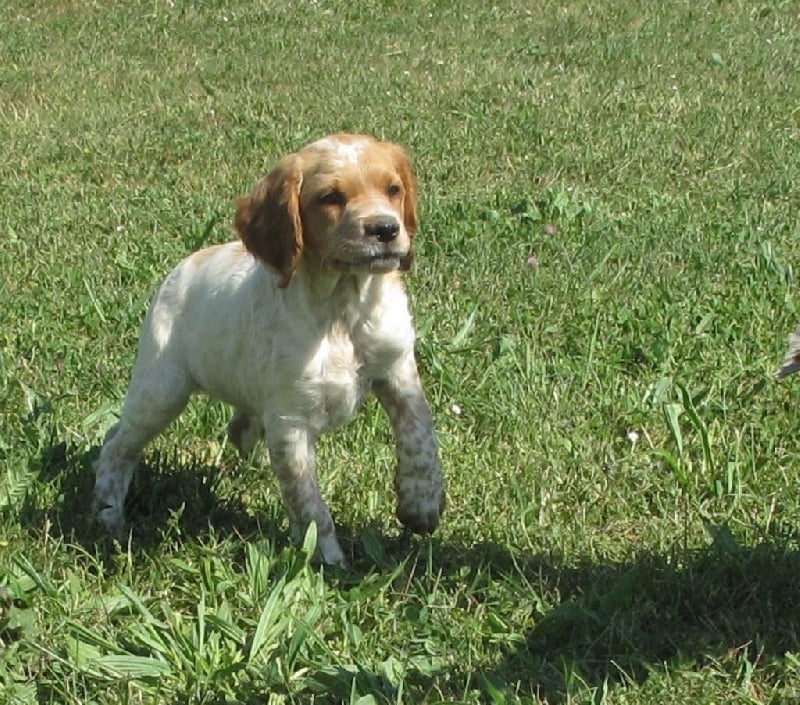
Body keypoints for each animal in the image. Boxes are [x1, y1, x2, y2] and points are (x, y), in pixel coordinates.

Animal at [94, 133, 446, 560]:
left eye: (393, 189)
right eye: (330, 197)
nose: (385, 229)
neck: (342, 309)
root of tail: (183, 266)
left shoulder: (396, 368)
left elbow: (420, 437)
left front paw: (421, 504)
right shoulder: (291, 419)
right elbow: (308, 501)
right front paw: (327, 560)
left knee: (238, 427)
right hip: (161, 389)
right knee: (117, 443)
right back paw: (108, 514)